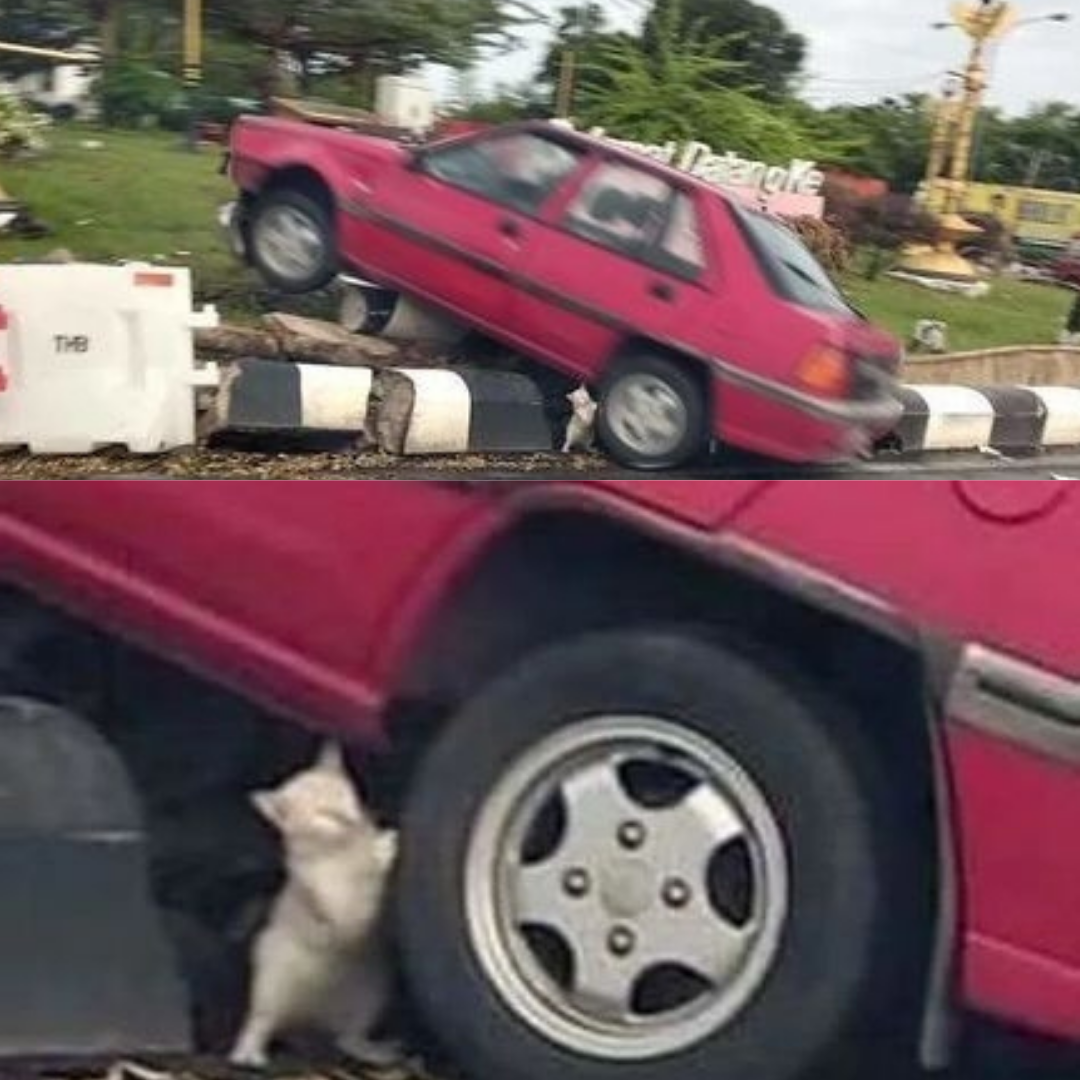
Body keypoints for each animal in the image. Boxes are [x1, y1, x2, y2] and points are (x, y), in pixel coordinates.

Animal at [230, 747, 399, 1067]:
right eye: (324, 815)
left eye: (347, 796)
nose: (350, 818)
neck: (341, 850)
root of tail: (309, 1020)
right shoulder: (333, 905)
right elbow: (346, 906)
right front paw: (380, 853)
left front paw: (382, 844)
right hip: (271, 978)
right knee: (261, 1021)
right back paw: (247, 1053)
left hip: (370, 993)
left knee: (347, 1038)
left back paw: (374, 1051)